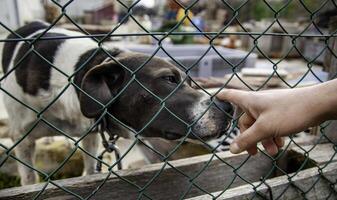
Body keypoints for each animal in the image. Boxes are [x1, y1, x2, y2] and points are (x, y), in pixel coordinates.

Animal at [0, 21, 234, 185]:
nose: (228, 107)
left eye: (189, 82)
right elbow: (29, 178)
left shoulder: (91, 136)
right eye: (169, 79)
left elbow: (90, 169)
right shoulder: (22, 138)